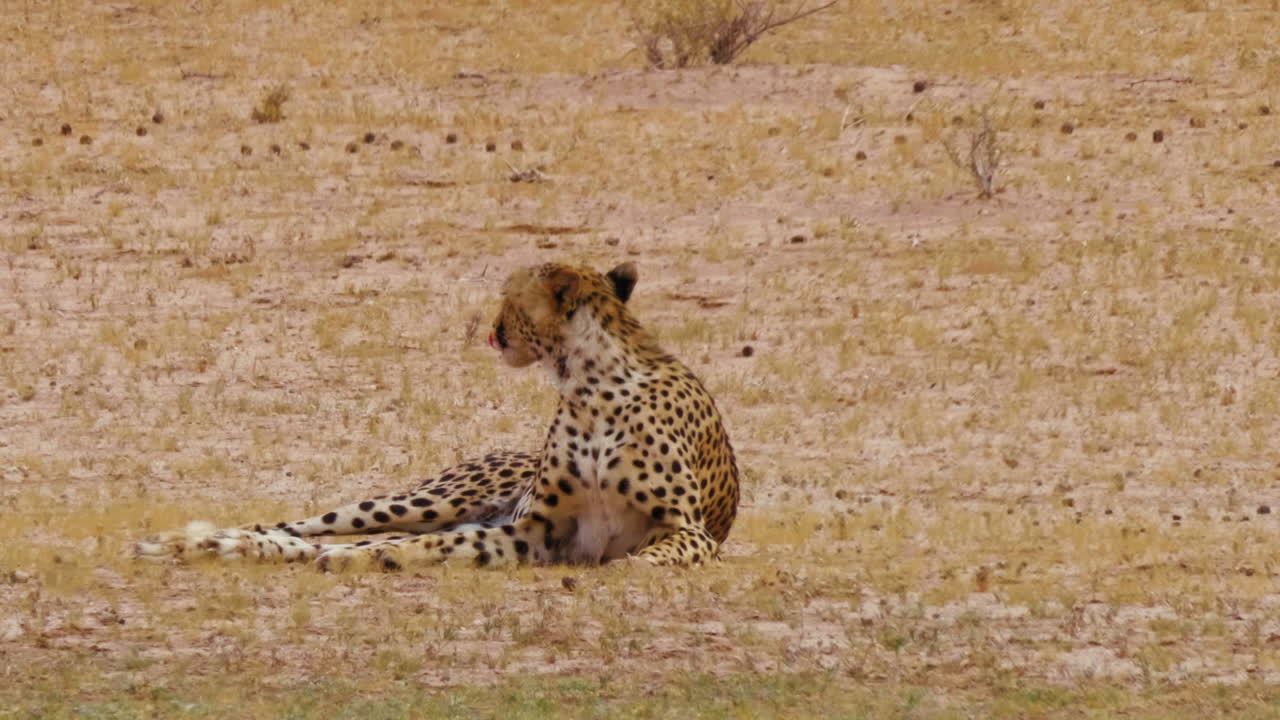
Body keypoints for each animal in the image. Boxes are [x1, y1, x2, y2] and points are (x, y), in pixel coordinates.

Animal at [134, 261, 740, 570]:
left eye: (511, 298)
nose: (493, 333)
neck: (590, 382)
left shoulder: (684, 530)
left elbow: (648, 557)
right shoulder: (536, 531)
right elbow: (419, 547)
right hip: (424, 501)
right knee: (303, 526)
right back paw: (194, 542)